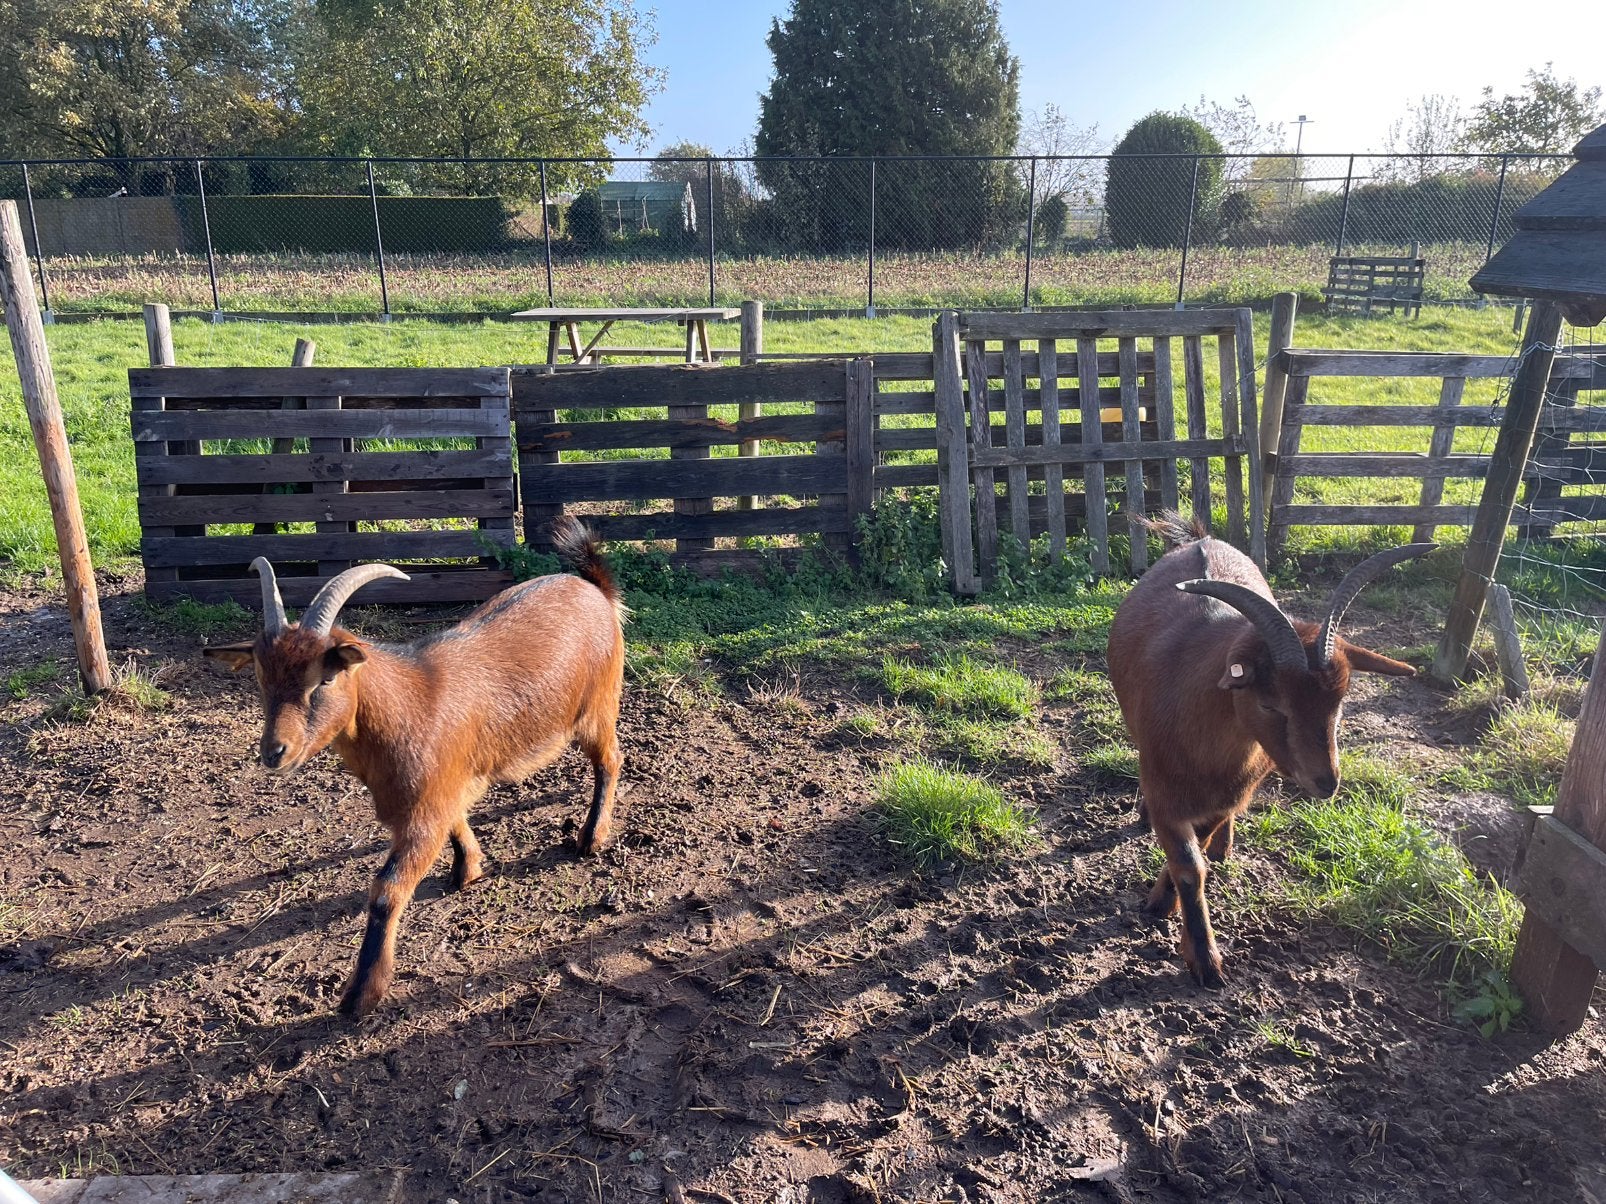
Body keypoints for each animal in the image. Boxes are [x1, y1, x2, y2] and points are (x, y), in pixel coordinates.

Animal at [204, 517, 626, 1017]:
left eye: (324, 679)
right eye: (260, 679)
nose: (274, 752)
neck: (408, 704)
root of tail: (595, 589)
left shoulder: (423, 813)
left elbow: (386, 890)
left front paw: (362, 994)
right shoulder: (439, 792)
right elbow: (458, 822)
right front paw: (468, 869)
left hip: (597, 708)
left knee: (610, 761)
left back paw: (591, 838)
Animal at [1106, 513, 1431, 988]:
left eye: (1341, 699)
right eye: (1270, 704)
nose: (1326, 781)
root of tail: (1201, 539)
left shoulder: (1232, 791)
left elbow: (1203, 842)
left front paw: (1170, 901)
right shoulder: (1165, 791)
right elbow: (1189, 868)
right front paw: (1202, 957)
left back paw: (1225, 846)